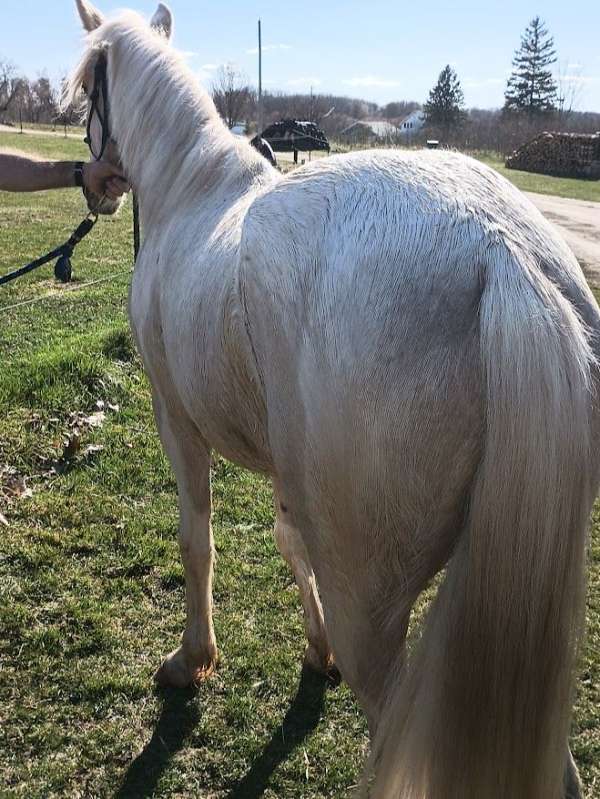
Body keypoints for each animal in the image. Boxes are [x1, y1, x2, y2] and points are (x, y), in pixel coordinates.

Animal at [68, 3, 600, 796]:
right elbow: (291, 541)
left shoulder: (175, 417)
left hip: (375, 617)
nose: (97, 184)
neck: (192, 192)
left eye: (87, 90)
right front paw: (314, 653)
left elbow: (197, 539)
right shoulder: (290, 470)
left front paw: (191, 660)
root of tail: (503, 253)